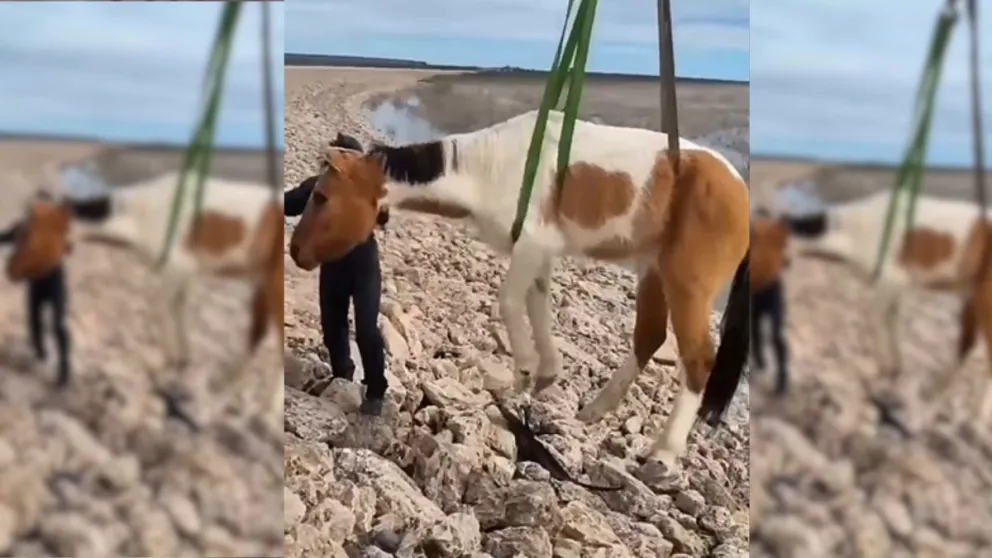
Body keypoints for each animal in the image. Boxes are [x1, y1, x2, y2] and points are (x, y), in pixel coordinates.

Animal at [7, 171, 284, 417]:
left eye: (28, 233)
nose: (9, 270)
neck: (142, 215)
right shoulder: (182, 275)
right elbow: (178, 312)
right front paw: (182, 362)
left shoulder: (176, 270)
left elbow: (159, 308)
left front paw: (168, 364)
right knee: (256, 334)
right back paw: (223, 384)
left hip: (272, 287)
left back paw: (267, 408)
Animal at [287, 109, 750, 473]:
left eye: (322, 196)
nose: (295, 252)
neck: (489, 169)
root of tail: (740, 190)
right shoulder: (538, 253)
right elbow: (537, 305)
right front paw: (545, 373)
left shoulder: (531, 246)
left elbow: (510, 302)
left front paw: (525, 370)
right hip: (652, 271)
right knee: (648, 337)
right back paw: (593, 411)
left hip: (686, 284)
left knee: (697, 360)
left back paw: (664, 455)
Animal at [780, 188, 992, 422]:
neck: (849, 230)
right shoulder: (893, 288)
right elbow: (890, 322)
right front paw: (894, 368)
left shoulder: (891, 281)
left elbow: (872, 317)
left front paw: (885, 367)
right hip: (972, 299)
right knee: (965, 346)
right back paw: (934, 398)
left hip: (985, 301)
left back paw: (974, 416)